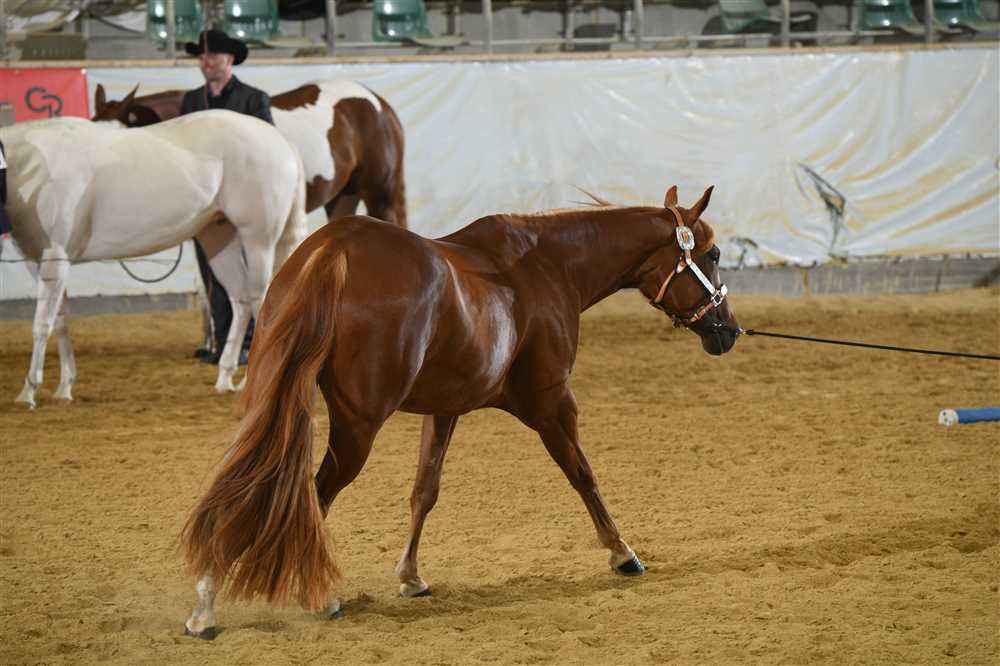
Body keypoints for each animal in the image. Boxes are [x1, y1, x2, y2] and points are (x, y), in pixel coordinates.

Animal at [0, 111, 308, 407]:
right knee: (241, 301)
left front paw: (28, 393)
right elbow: (60, 322)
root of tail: (281, 140)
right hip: (218, 239)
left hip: (258, 240)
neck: (36, 163)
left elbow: (41, 325)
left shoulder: (55, 258)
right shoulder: (39, 261)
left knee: (262, 301)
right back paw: (225, 378)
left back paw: (250, 383)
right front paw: (64, 389)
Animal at [180, 184, 740, 638]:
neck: (549, 267)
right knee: (307, 497)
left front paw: (410, 576)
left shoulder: (445, 408)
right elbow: (583, 473)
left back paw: (206, 600)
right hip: (356, 429)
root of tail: (331, 251)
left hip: (273, 403)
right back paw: (306, 597)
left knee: (246, 485)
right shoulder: (552, 402)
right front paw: (622, 552)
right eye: (712, 254)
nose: (729, 331)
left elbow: (424, 490)